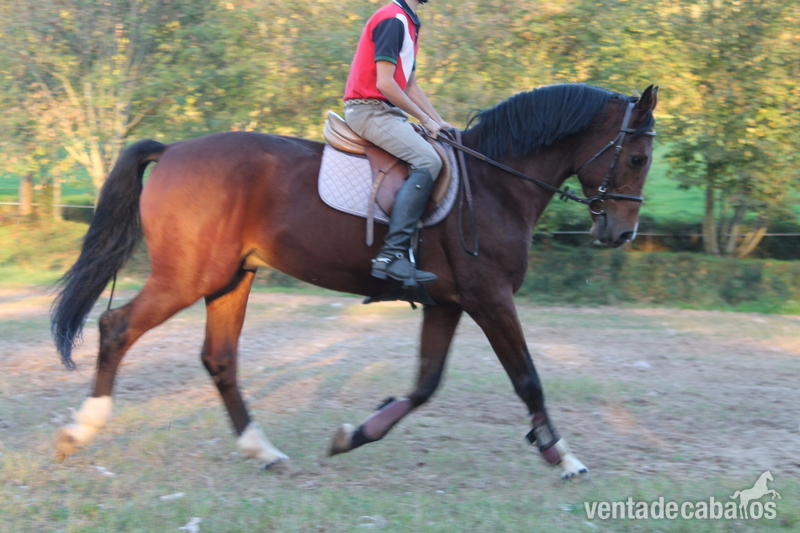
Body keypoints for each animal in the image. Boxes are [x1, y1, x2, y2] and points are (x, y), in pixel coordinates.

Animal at [51, 83, 658, 479]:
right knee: (115, 327)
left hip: (230, 278)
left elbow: (425, 385)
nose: (621, 233)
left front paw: (352, 437)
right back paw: (81, 430)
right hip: (187, 276)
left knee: (219, 358)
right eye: (637, 157)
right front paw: (563, 456)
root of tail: (173, 149)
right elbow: (527, 378)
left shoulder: (447, 303)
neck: (494, 183)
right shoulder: (490, 298)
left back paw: (261, 450)